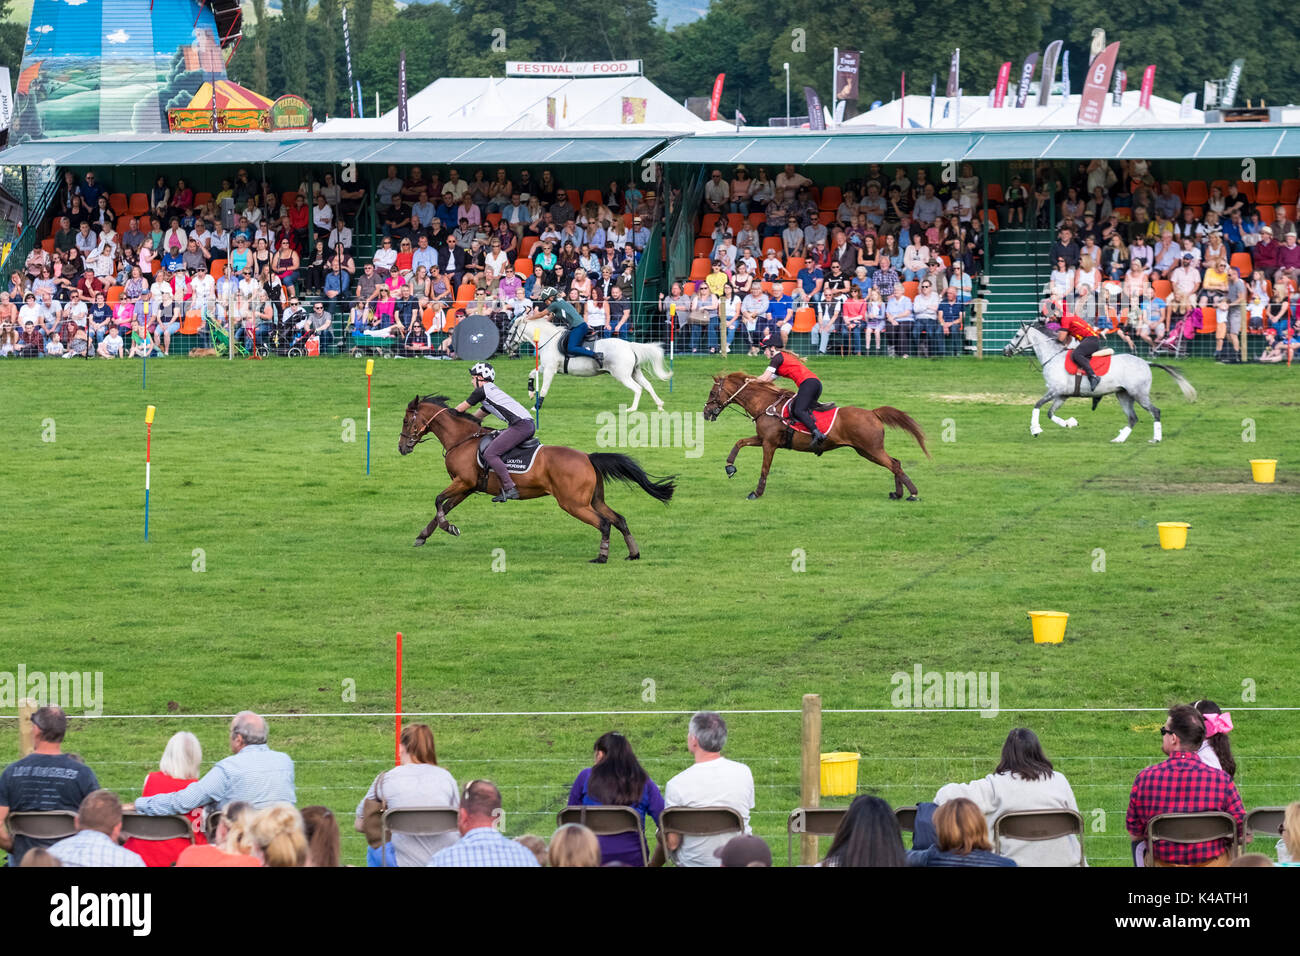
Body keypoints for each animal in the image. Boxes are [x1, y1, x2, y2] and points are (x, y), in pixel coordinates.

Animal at [400, 395, 676, 561]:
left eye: (405, 420)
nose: (402, 448)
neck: (462, 439)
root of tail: (588, 457)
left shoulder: (463, 482)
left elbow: (438, 501)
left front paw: (449, 528)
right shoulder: (467, 487)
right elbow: (443, 508)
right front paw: (424, 535)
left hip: (572, 503)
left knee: (604, 523)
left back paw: (601, 557)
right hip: (593, 500)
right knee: (619, 519)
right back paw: (633, 553)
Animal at [504, 319, 676, 413]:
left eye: (511, 332)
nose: (506, 347)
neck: (548, 340)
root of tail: (629, 345)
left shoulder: (550, 370)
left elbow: (544, 389)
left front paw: (536, 407)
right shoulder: (545, 367)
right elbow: (531, 373)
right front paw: (530, 392)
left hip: (622, 376)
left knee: (638, 388)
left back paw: (632, 409)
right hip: (635, 372)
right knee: (648, 386)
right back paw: (660, 405)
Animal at [707, 374, 930, 504]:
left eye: (711, 392)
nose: (706, 412)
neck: (766, 405)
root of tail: (873, 413)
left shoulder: (769, 444)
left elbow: (764, 469)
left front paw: (757, 492)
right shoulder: (763, 439)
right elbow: (739, 442)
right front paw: (729, 467)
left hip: (871, 449)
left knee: (894, 465)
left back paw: (912, 494)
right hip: (866, 451)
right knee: (895, 463)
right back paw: (898, 494)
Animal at [1003, 319, 1196, 442]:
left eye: (1017, 335)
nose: (1006, 351)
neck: (1053, 356)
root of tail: (1145, 362)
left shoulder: (1054, 391)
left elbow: (1036, 406)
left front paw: (1035, 429)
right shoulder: (1061, 395)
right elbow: (1050, 413)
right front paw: (1070, 423)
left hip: (1138, 394)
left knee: (1155, 412)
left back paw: (1155, 439)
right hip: (1123, 395)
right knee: (1133, 418)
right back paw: (1119, 439)